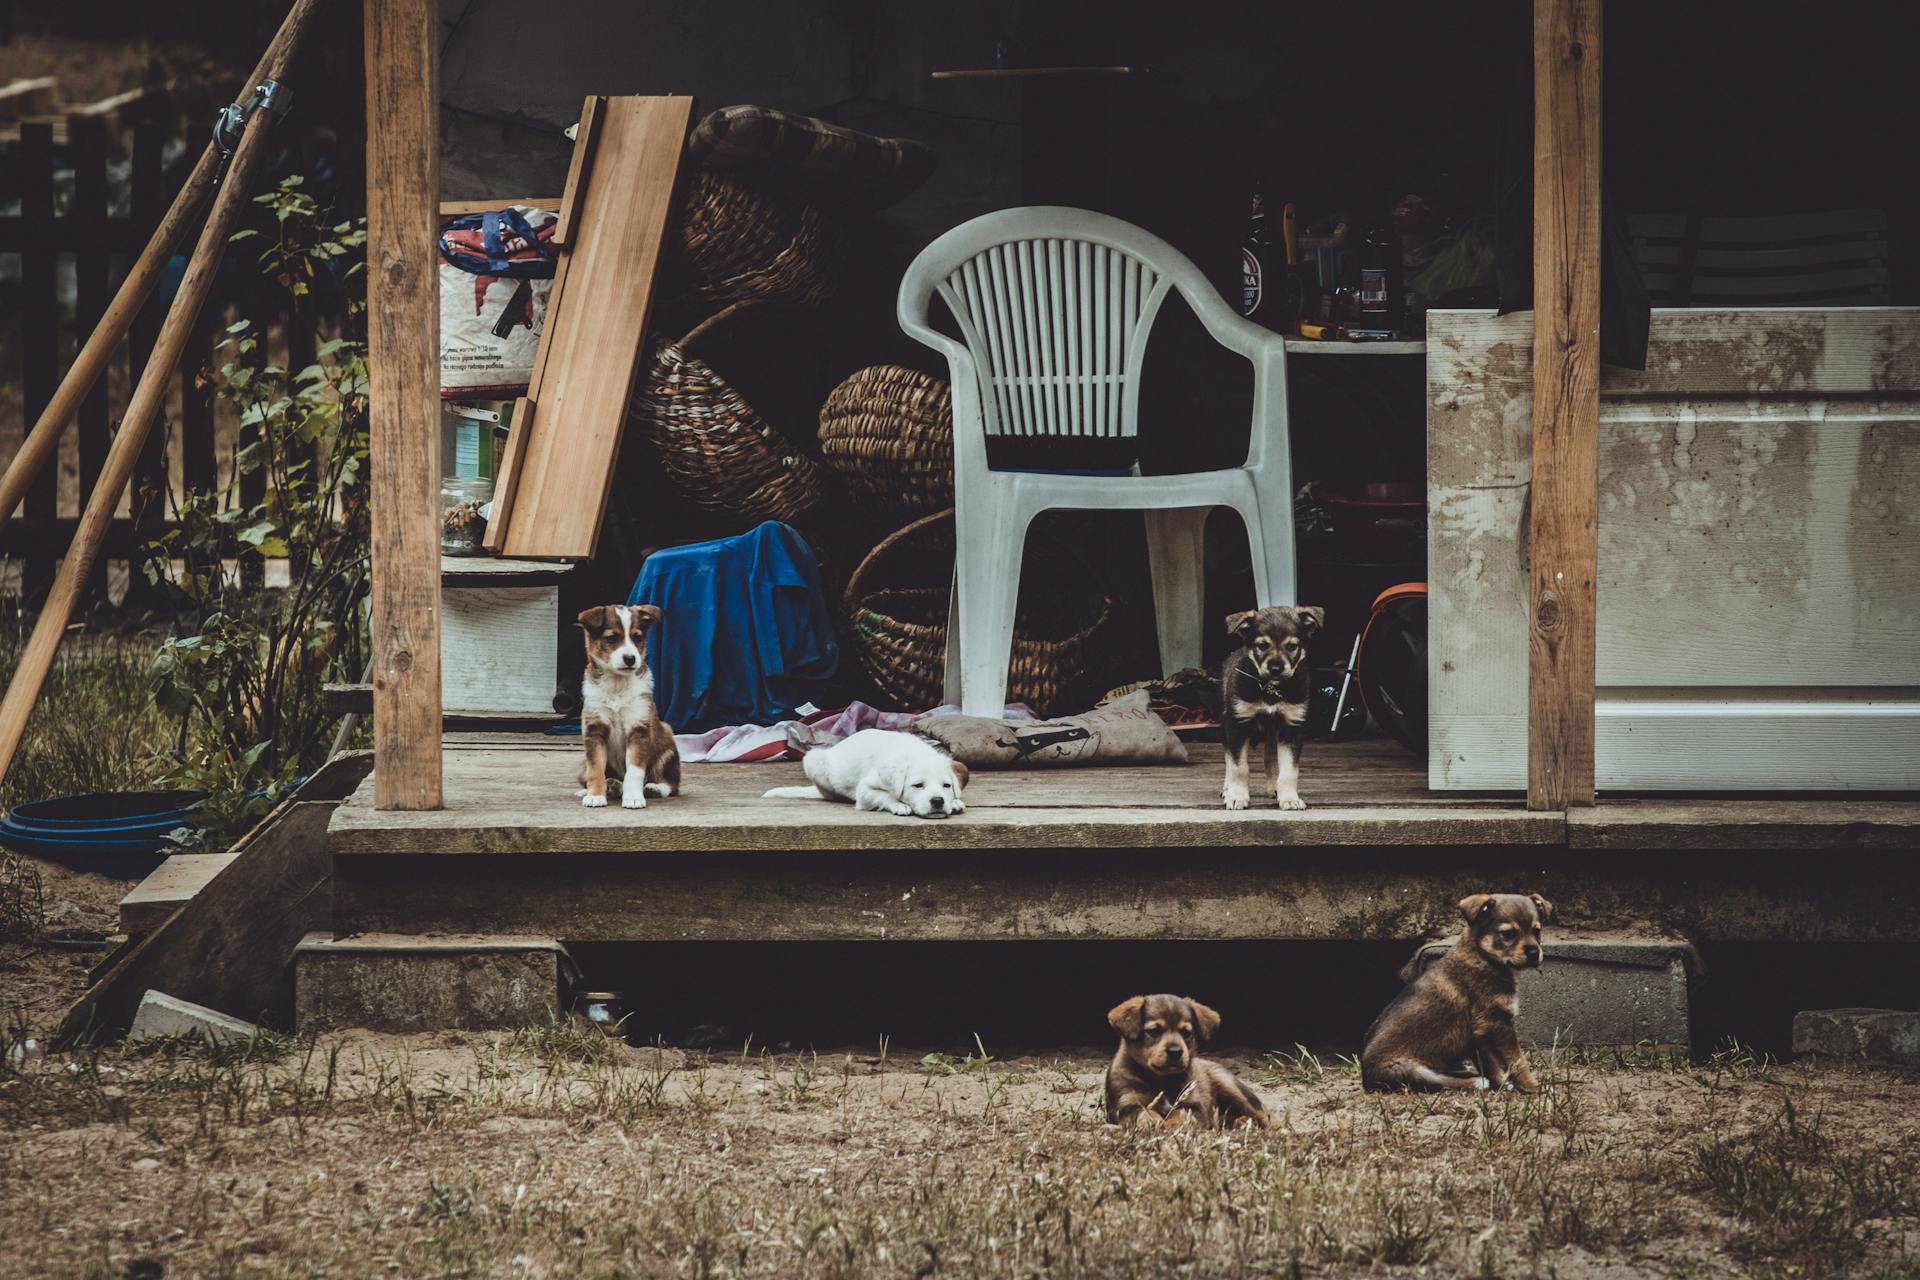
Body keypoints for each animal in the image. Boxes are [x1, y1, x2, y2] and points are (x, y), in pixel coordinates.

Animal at [572, 610, 679, 809]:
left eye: (637, 637)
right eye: (612, 638)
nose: (630, 659)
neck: (617, 683)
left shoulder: (639, 728)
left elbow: (635, 771)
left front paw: (634, 798)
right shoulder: (594, 729)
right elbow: (595, 769)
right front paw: (595, 796)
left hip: (668, 746)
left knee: (671, 782)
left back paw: (654, 788)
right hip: (582, 765)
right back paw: (609, 786)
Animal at [760, 729, 967, 821]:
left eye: (946, 786)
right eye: (918, 785)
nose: (938, 801)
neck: (915, 752)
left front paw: (955, 802)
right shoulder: (865, 790)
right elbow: (885, 795)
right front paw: (899, 805)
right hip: (814, 760)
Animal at [1113, 997, 1274, 1128]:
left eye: (1186, 1032)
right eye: (1154, 1031)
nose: (1175, 1052)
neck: (1162, 1080)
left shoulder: (1194, 1105)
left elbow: (1180, 1112)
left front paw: (1173, 1125)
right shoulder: (1124, 1105)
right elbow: (1142, 1111)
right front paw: (1151, 1121)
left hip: (1231, 1086)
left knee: (1264, 1115)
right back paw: (1241, 1122)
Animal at [1213, 610, 1320, 809]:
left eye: (1292, 646)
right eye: (1262, 646)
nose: (1276, 668)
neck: (1271, 689)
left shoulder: (1291, 728)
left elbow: (1289, 770)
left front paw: (1290, 799)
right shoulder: (1237, 724)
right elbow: (1239, 767)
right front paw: (1237, 796)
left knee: (1270, 758)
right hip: (1225, 725)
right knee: (1229, 759)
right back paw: (1227, 789)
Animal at [1359, 890, 1551, 1090]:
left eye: (1536, 931)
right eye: (1509, 934)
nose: (1534, 953)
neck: (1484, 957)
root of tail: (1366, 1079)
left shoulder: (1479, 1035)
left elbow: (1491, 1065)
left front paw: (1501, 1084)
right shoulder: (1496, 1024)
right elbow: (1517, 1061)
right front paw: (1532, 1086)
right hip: (1409, 1069)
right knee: (1441, 1080)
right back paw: (1475, 1082)